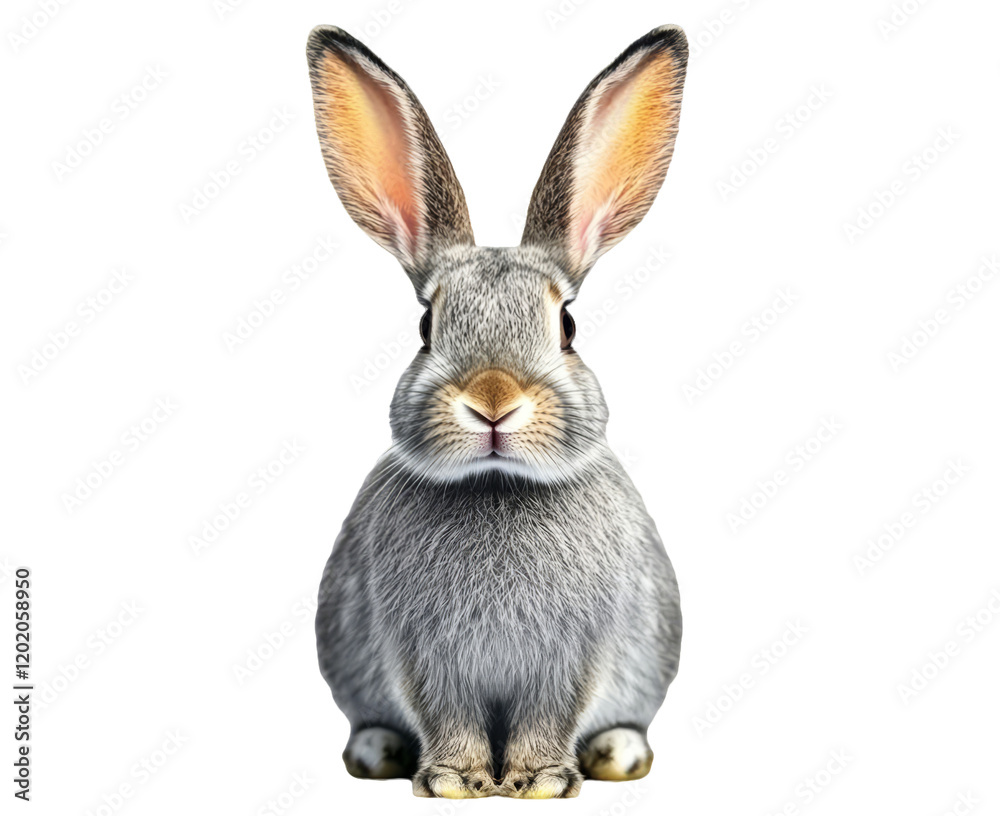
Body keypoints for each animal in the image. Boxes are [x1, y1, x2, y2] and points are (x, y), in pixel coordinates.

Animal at [307, 23, 688, 799]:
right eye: (426, 327)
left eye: (567, 326)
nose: (492, 402)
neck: (497, 486)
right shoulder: (422, 648)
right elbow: (444, 710)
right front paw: (457, 781)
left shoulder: (574, 651)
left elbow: (552, 711)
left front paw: (538, 781)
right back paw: (378, 753)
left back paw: (618, 755)